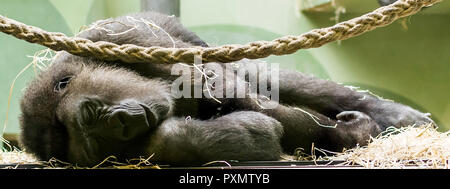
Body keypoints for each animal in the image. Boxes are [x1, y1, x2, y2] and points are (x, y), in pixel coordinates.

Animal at [17, 11, 432, 166]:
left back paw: (396, 114)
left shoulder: (118, 37)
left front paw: (356, 130)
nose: (117, 124)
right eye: (93, 143)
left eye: (89, 114)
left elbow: (245, 95)